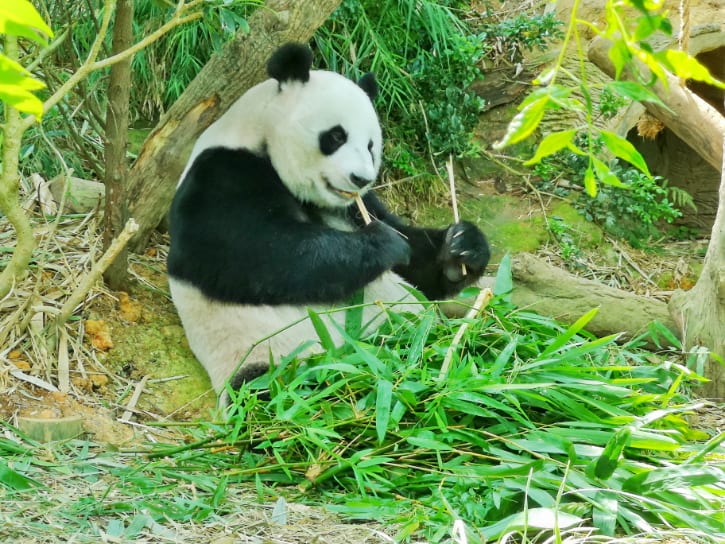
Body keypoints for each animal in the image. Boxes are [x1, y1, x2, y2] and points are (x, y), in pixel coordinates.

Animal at [167, 43, 490, 404]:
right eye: (335, 136)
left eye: (370, 145)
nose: (360, 178)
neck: (259, 137)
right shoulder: (220, 174)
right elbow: (259, 256)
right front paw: (383, 244)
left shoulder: (355, 206)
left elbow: (417, 261)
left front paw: (462, 249)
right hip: (270, 361)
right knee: (292, 393)